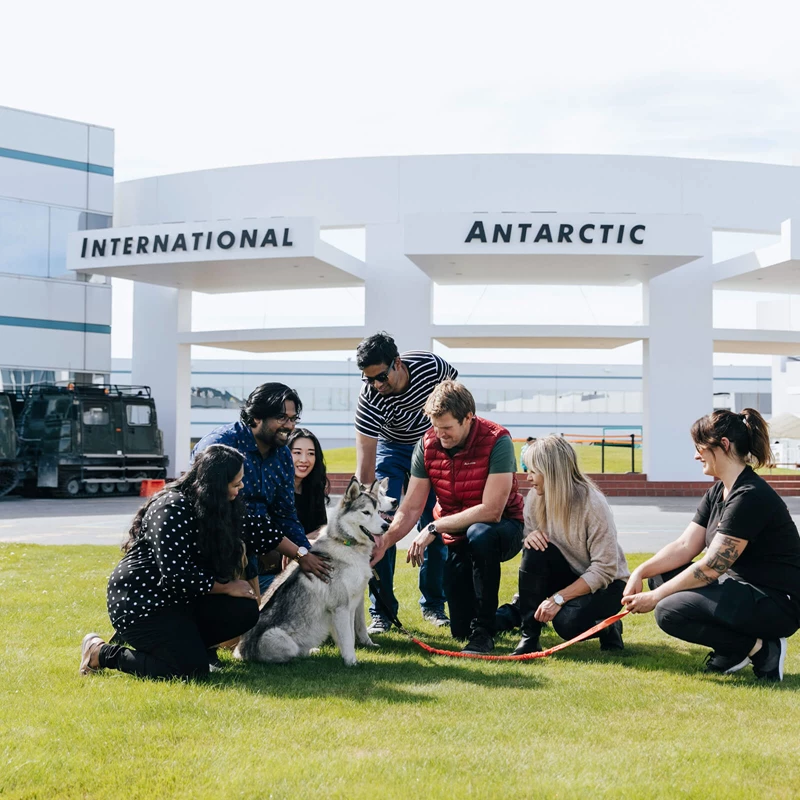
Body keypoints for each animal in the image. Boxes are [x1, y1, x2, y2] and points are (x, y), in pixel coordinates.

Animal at [233, 478, 396, 664]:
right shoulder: (340, 607)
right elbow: (348, 639)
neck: (347, 545)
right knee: (291, 655)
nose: (386, 526)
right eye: (366, 512)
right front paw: (352, 662)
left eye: (378, 512)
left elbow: (351, 635)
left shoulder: (351, 606)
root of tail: (241, 652)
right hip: (280, 639)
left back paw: (312, 651)